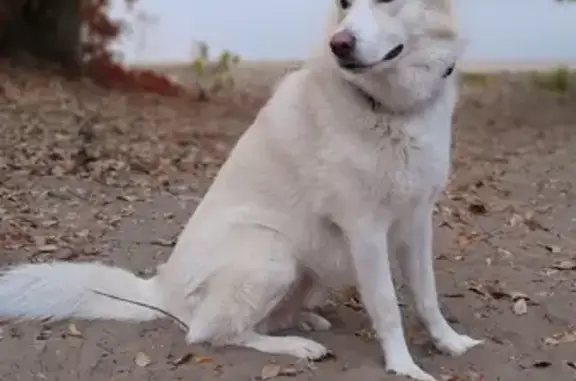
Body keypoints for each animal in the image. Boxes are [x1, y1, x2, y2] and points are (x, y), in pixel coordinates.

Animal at [0, 1, 482, 378]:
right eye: (344, 3)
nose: (340, 44)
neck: (389, 107)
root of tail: (160, 290)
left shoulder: (416, 221)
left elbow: (426, 296)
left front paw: (449, 343)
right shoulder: (365, 230)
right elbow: (387, 307)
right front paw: (404, 366)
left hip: (308, 267)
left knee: (260, 320)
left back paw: (305, 322)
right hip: (272, 254)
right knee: (212, 332)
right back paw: (296, 346)